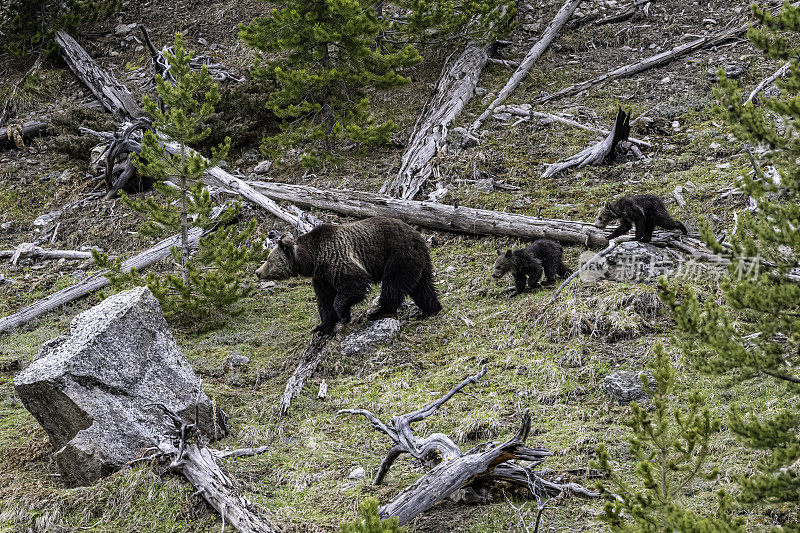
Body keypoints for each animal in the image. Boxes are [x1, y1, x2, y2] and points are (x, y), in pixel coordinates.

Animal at [256, 216, 444, 332]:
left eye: (269, 260)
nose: (258, 272)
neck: (312, 258)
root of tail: (418, 237)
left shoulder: (336, 259)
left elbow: (355, 283)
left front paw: (344, 315)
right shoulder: (322, 277)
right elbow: (324, 300)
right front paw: (322, 327)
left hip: (398, 256)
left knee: (393, 285)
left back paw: (379, 312)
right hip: (418, 263)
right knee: (422, 287)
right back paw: (431, 308)